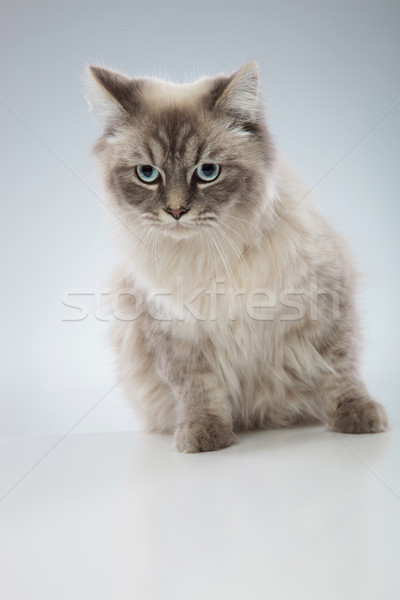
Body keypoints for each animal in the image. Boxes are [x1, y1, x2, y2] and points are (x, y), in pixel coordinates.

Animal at [86, 62, 390, 454]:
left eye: (207, 172)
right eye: (147, 174)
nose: (176, 212)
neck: (208, 254)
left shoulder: (326, 302)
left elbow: (340, 369)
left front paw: (357, 417)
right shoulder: (174, 332)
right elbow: (197, 389)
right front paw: (205, 435)